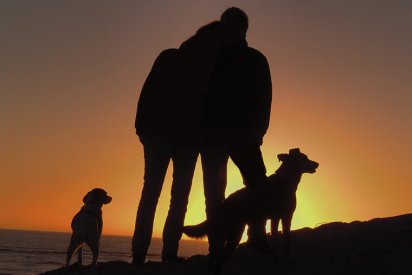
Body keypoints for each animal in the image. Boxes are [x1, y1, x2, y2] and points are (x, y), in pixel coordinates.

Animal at [182, 149, 320, 274]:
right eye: (305, 158)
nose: (317, 164)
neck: (285, 179)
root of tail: (223, 204)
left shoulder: (284, 217)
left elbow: (284, 240)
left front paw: (284, 258)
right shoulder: (279, 217)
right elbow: (278, 240)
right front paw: (280, 259)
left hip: (226, 232)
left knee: (216, 252)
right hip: (234, 233)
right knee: (221, 256)